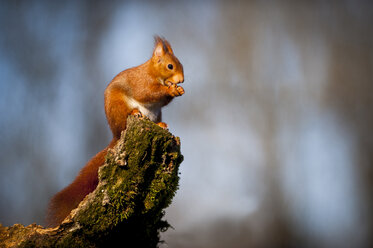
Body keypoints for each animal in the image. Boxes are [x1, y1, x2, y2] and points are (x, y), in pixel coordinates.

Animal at [46, 35, 185, 228]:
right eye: (170, 66)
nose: (181, 80)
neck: (153, 73)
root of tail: (116, 134)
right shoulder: (141, 82)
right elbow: (147, 92)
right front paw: (171, 89)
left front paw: (178, 89)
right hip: (119, 107)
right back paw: (135, 113)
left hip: (156, 113)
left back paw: (160, 124)